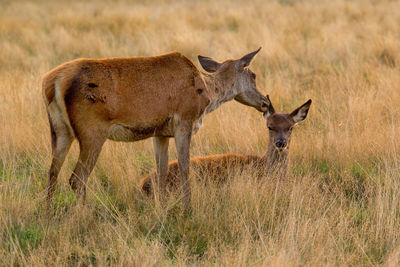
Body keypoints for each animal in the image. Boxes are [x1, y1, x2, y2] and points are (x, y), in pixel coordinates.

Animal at [43, 48, 268, 211]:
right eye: (253, 75)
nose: (265, 103)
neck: (207, 95)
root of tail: (52, 83)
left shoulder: (160, 133)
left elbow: (161, 170)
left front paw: (161, 208)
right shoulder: (184, 121)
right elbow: (185, 167)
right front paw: (188, 209)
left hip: (60, 130)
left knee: (53, 172)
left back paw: (48, 214)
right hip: (92, 131)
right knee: (77, 178)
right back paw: (85, 214)